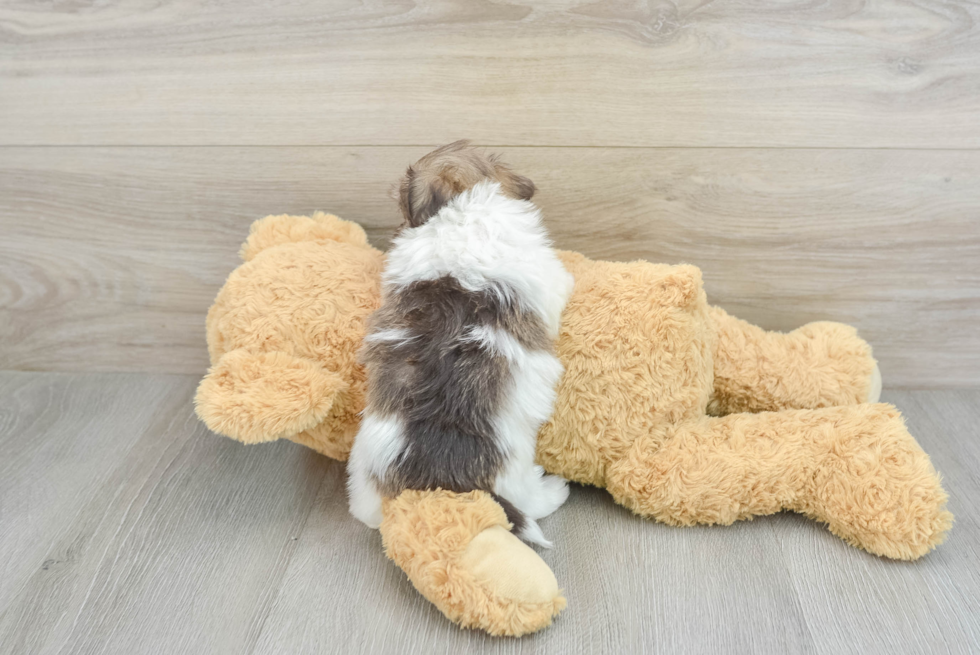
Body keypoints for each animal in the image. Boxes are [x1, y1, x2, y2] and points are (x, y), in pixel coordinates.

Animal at [346, 142, 572, 548]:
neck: (458, 208)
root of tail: (434, 478)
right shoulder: (549, 278)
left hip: (363, 469)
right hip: (513, 475)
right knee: (528, 502)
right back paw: (554, 490)